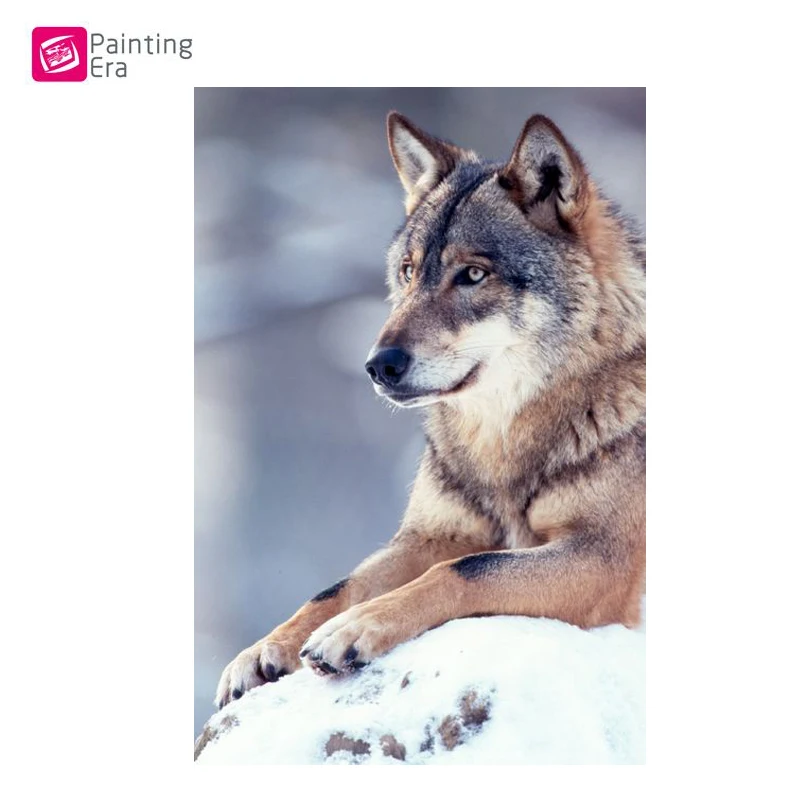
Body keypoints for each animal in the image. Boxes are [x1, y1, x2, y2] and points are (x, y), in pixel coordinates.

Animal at [215, 112, 645, 708]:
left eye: (472, 274)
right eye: (408, 271)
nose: (378, 365)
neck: (501, 447)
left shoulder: (603, 560)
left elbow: (463, 571)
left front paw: (352, 629)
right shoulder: (430, 535)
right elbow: (339, 585)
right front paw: (262, 650)